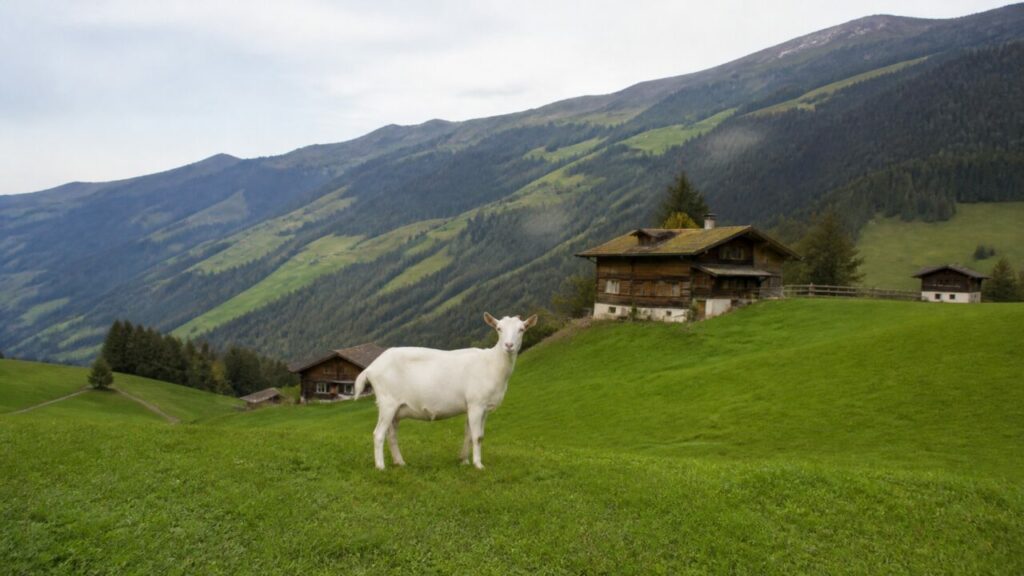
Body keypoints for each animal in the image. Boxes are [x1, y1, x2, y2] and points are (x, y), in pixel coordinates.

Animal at [354, 313, 538, 469]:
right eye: (499, 328)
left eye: (522, 329)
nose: (509, 345)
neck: (492, 363)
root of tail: (370, 368)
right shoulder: (476, 404)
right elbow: (477, 436)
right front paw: (478, 465)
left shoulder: (480, 408)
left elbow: (469, 434)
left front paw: (464, 460)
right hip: (387, 403)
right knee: (378, 434)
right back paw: (380, 466)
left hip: (396, 408)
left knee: (391, 435)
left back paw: (400, 462)